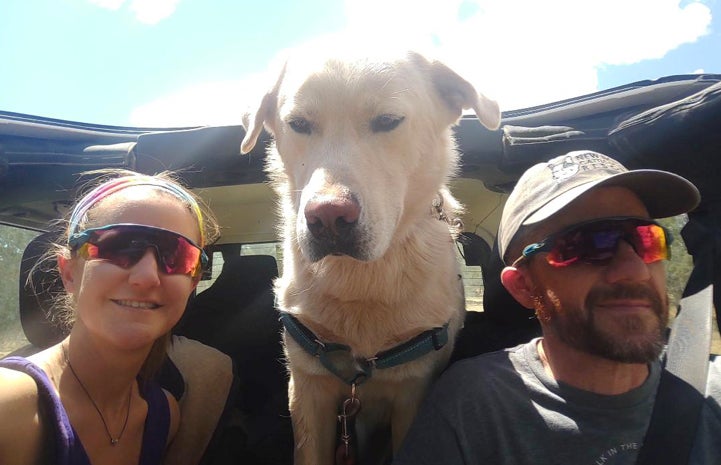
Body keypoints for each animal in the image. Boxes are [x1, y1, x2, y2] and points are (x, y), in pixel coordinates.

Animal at [242, 48, 500, 464]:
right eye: (298, 124)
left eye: (388, 121)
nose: (328, 217)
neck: (359, 281)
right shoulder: (308, 389)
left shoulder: (413, 391)